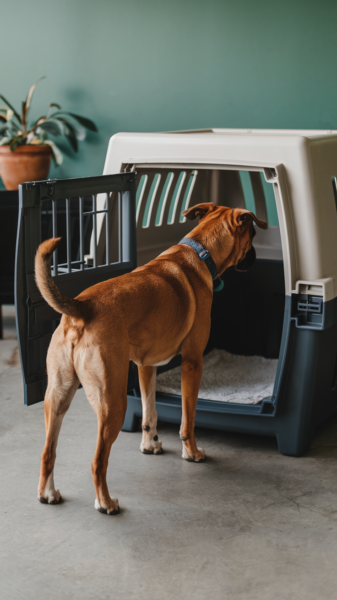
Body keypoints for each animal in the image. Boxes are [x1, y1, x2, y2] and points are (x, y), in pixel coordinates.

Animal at [35, 204, 266, 512]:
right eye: (252, 234)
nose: (256, 258)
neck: (199, 251)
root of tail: (83, 308)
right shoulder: (193, 363)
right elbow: (188, 420)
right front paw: (191, 452)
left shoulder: (146, 366)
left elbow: (150, 411)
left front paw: (150, 444)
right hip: (112, 403)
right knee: (98, 461)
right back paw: (105, 502)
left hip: (57, 396)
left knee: (48, 452)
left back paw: (47, 493)